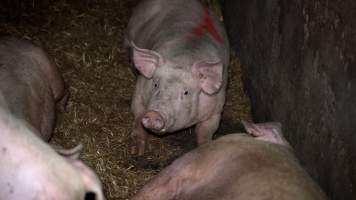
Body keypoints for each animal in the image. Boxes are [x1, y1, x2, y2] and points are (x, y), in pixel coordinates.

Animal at [126, 0, 229, 155]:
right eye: (155, 84)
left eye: (186, 92)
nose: (154, 114)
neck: (184, 59)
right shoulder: (140, 89)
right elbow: (138, 114)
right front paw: (137, 151)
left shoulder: (216, 109)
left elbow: (206, 132)